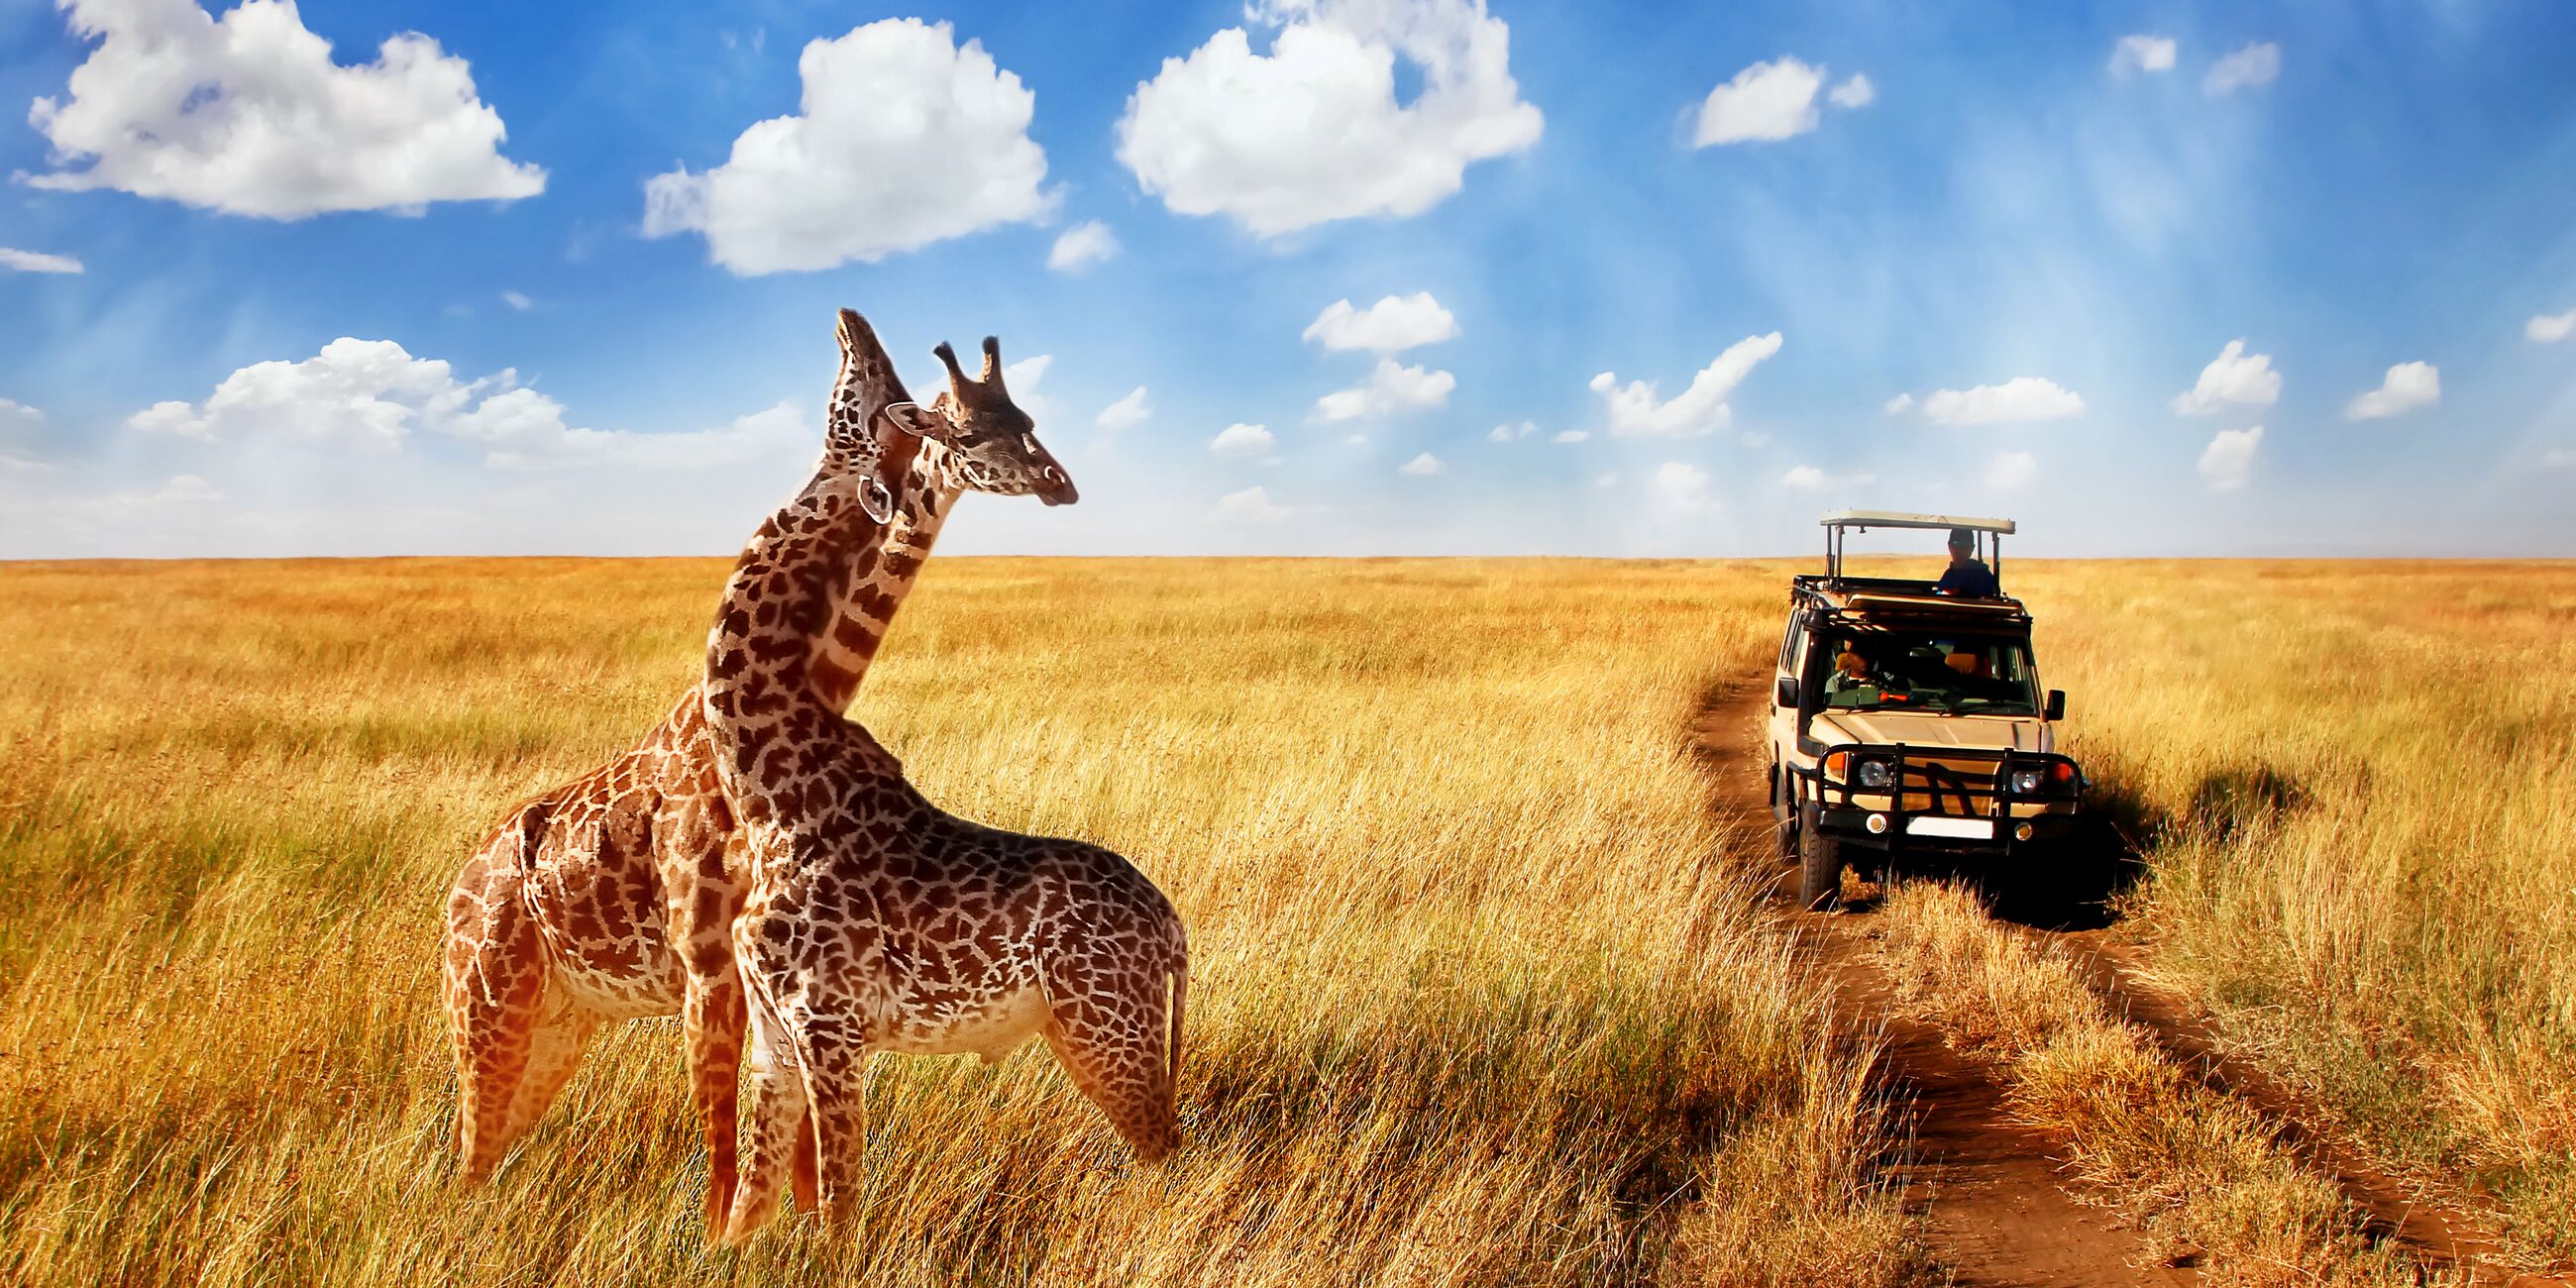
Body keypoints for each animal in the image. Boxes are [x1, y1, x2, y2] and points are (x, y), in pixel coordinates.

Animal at [441, 308, 1073, 1232]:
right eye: (960, 424)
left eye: (1024, 418)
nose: (853, 322)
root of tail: (457, 888)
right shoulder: (712, 964)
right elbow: (730, 1142)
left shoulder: (770, 975)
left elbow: (787, 1144)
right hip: (487, 1006)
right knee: (469, 1151)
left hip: (562, 1019)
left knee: (490, 1152)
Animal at [701, 330, 1188, 1245]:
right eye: (968, 430)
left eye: (1024, 422)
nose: (1059, 482)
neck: (766, 787)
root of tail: (1174, 929)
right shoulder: (774, 1036)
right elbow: (749, 1208)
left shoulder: (830, 1025)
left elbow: (840, 1208)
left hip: (1108, 1030)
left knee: (1169, 1152)